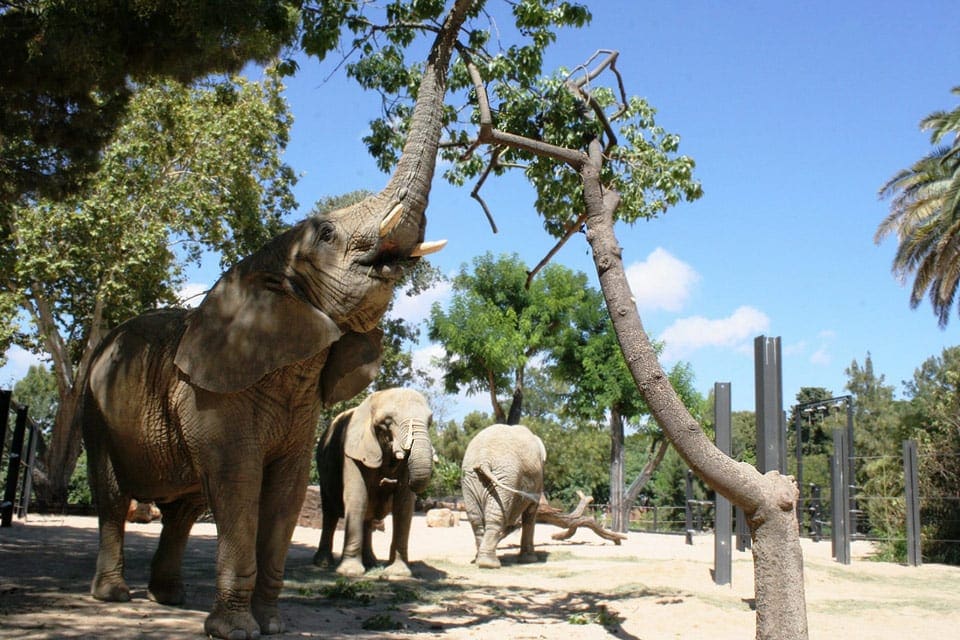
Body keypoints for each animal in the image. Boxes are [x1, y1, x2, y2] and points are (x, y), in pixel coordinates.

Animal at [314, 388, 434, 576]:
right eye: (387, 422)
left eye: (430, 421)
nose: (387, 481)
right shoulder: (353, 451)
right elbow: (357, 498)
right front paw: (350, 572)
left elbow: (404, 505)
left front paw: (398, 573)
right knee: (330, 514)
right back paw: (323, 563)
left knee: (368, 518)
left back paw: (371, 563)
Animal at [460, 422, 544, 568]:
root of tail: (484, 460)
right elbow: (531, 514)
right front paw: (530, 560)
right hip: (505, 476)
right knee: (495, 515)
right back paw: (490, 564)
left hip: (470, 478)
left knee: (475, 519)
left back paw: (479, 560)